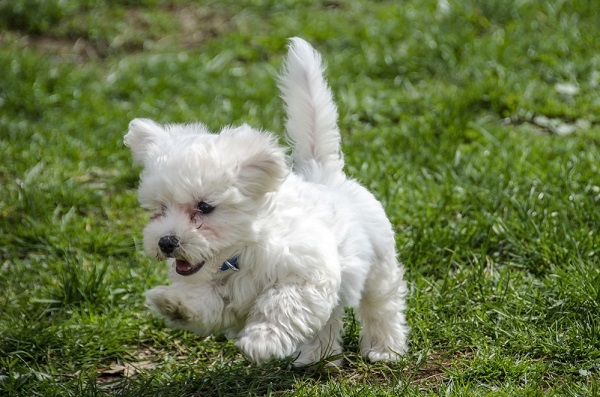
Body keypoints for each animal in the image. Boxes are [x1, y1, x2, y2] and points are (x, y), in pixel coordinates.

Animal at [125, 38, 408, 366]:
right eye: (159, 209)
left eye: (205, 207)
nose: (167, 242)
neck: (238, 256)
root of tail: (325, 175)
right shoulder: (220, 298)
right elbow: (205, 305)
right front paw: (172, 302)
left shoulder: (305, 275)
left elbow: (281, 305)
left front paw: (261, 341)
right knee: (328, 320)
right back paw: (316, 356)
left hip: (379, 265)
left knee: (382, 304)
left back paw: (384, 348)